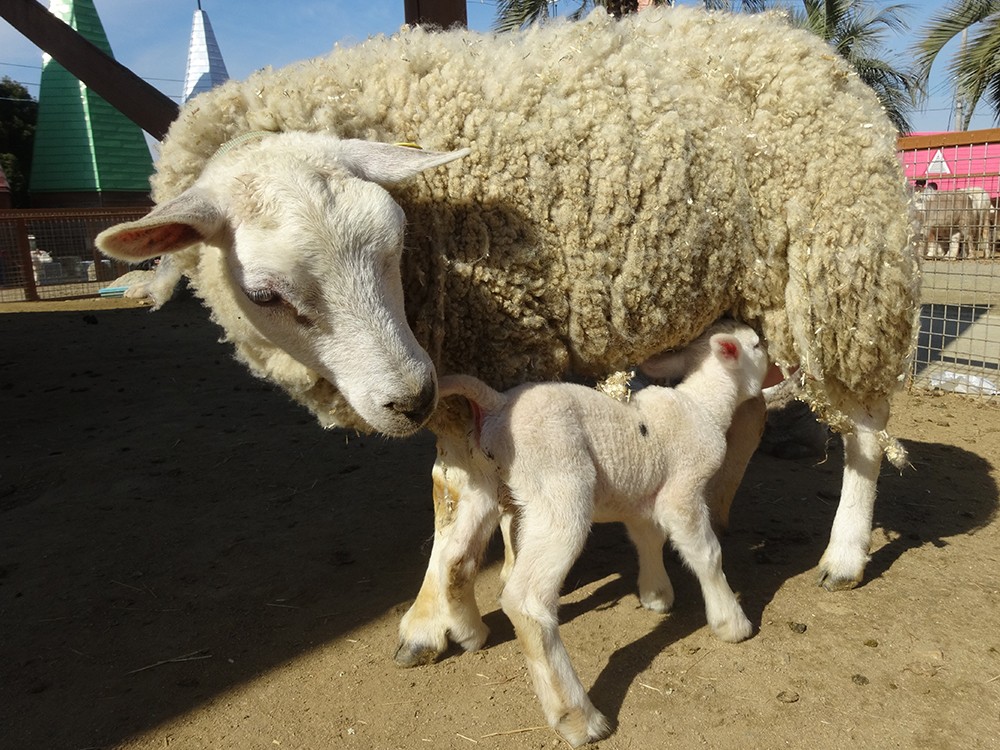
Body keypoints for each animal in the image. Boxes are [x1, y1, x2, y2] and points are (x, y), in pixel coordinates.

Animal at [438, 322, 764, 748]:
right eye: (757, 344)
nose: (777, 357)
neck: (704, 405)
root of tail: (497, 404)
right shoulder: (683, 490)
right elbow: (707, 553)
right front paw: (732, 623)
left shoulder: (642, 497)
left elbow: (648, 539)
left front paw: (655, 595)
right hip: (559, 488)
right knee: (526, 600)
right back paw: (579, 718)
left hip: (484, 484)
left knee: (454, 558)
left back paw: (469, 632)